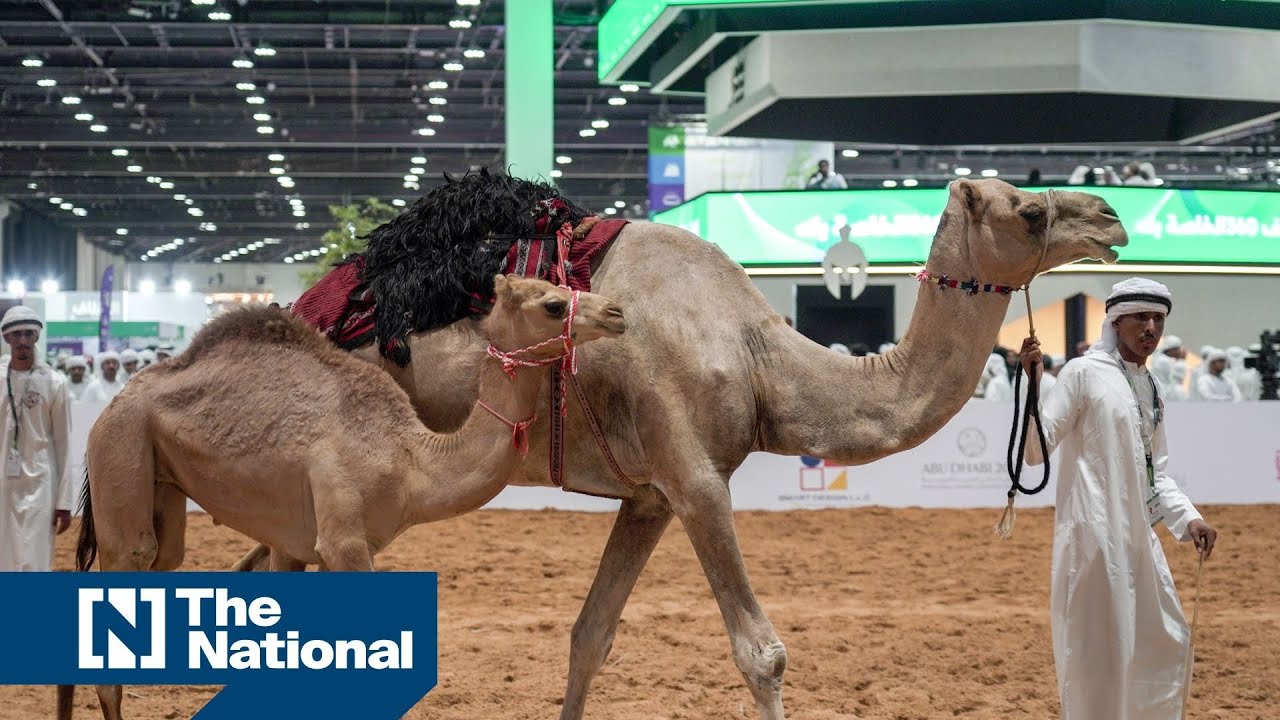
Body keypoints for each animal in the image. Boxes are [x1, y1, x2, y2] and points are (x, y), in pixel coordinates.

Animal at [62, 275, 625, 720]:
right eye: (552, 303)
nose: (617, 313)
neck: (412, 460)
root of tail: (121, 396)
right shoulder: (344, 541)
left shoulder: (304, 545)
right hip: (121, 445)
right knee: (128, 562)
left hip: (160, 487)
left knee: (157, 558)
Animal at [239, 177, 1126, 719]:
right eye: (1028, 211)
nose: (1111, 217)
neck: (759, 358)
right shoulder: (697, 478)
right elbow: (762, 653)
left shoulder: (650, 495)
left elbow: (590, 636)